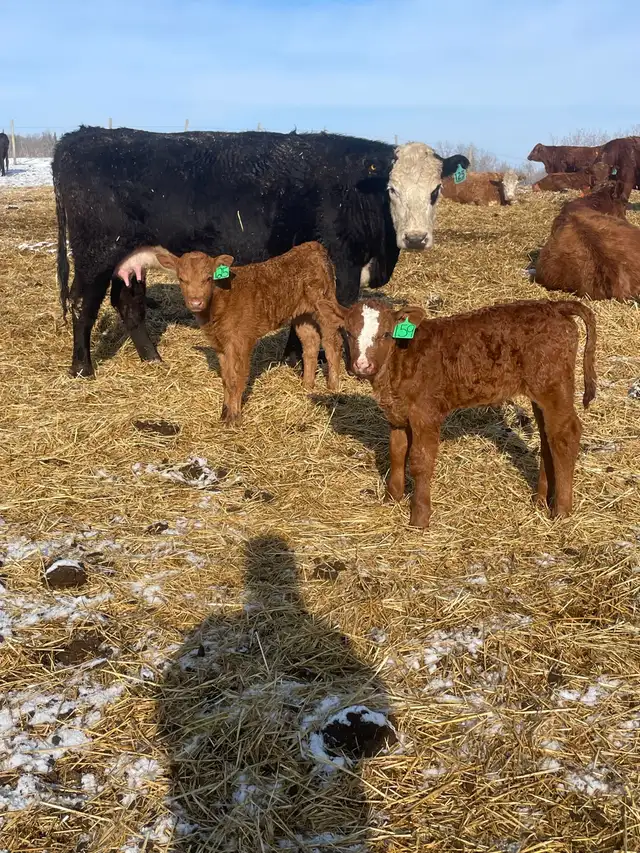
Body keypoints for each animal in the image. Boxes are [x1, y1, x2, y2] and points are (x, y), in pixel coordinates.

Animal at [52, 127, 469, 378]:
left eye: (436, 191)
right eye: (392, 189)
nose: (415, 238)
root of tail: (79, 136)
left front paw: (293, 360)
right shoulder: (342, 267)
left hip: (130, 257)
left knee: (127, 303)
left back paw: (152, 357)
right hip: (95, 252)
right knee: (82, 305)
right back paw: (82, 368)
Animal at [332, 298, 596, 528]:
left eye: (386, 334)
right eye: (349, 333)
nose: (362, 366)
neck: (399, 360)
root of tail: (554, 305)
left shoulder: (426, 415)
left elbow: (420, 461)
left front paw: (419, 518)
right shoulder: (397, 415)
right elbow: (396, 452)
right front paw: (392, 498)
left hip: (553, 386)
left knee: (566, 435)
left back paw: (561, 510)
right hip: (540, 393)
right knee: (548, 436)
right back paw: (541, 500)